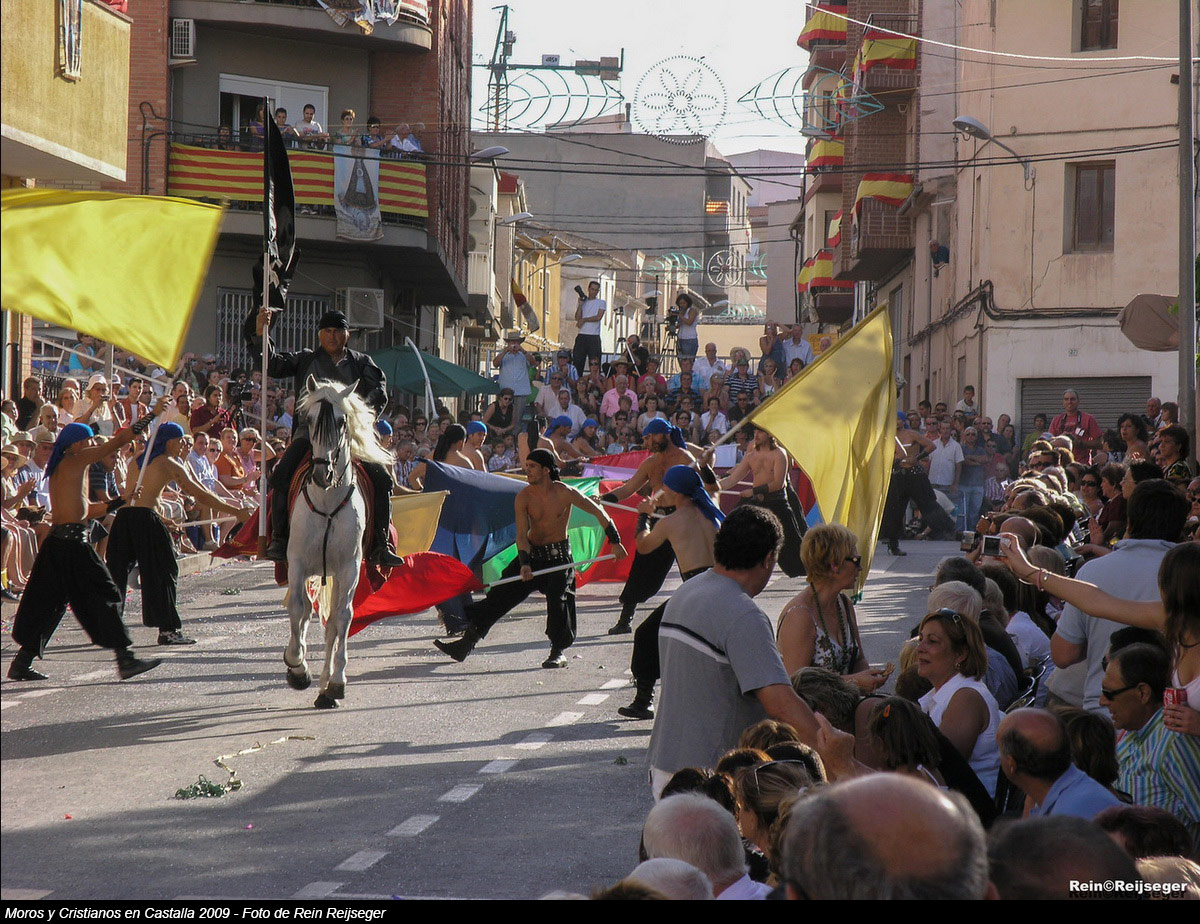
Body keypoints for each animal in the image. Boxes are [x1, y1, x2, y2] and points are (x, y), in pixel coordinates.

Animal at [283, 375, 394, 708]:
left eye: (342, 421)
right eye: (308, 419)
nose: (323, 473)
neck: (327, 500)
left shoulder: (349, 568)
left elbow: (342, 618)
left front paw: (335, 682)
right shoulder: (297, 564)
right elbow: (298, 608)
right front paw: (297, 667)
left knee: (332, 623)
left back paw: (325, 689)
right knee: (308, 610)